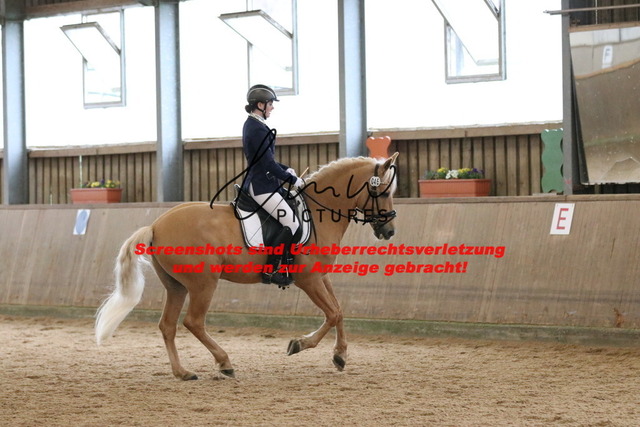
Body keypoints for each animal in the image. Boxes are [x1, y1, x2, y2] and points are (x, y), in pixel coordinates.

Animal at [95, 153, 399, 380]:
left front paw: (340, 355)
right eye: (383, 191)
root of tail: (156, 226)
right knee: (193, 322)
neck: (317, 213)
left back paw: (183, 372)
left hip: (176, 286)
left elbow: (339, 312)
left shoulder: (320, 277)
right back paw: (225, 363)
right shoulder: (308, 279)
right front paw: (300, 345)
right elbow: (333, 314)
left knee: (168, 325)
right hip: (203, 283)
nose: (389, 231)